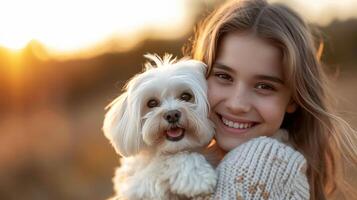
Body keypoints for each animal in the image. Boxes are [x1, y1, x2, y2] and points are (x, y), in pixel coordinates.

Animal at [101, 53, 216, 200]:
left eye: (186, 96)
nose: (172, 115)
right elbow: (165, 161)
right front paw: (196, 176)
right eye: (152, 103)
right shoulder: (135, 188)